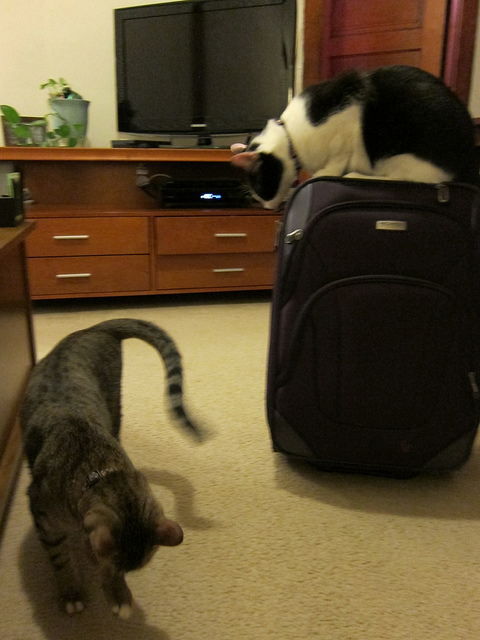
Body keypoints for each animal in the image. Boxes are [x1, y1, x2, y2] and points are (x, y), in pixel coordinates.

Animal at [20, 318, 202, 619]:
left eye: (126, 570)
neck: (98, 469)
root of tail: (95, 328)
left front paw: (118, 593)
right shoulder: (43, 513)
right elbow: (61, 559)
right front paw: (72, 592)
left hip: (115, 403)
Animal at [231, 65, 478, 210]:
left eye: (260, 186)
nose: (266, 206)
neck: (291, 137)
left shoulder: (344, 126)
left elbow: (336, 159)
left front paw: (320, 175)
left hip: (403, 158)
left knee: (403, 179)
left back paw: (354, 175)